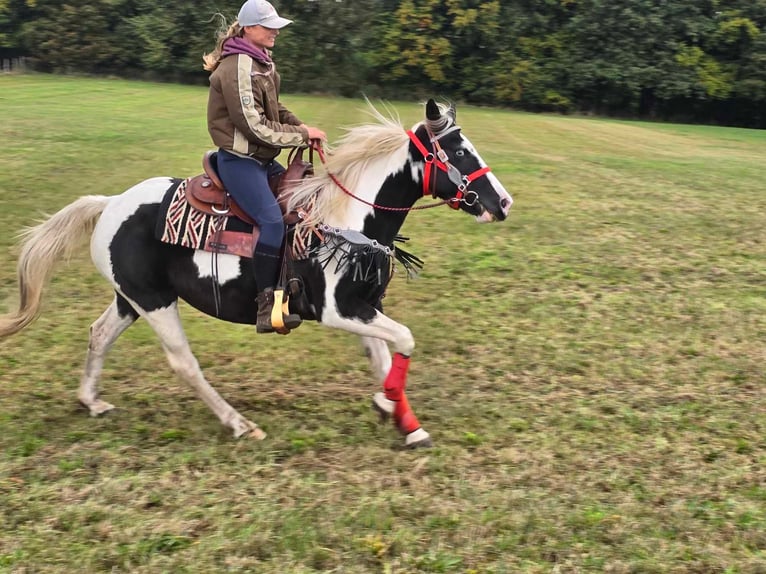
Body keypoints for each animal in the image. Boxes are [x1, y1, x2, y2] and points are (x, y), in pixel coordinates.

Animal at [1, 100, 516, 450]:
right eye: (459, 151)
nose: (503, 203)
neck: (344, 216)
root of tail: (110, 204)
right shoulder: (339, 309)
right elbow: (404, 341)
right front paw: (399, 415)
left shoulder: (364, 306)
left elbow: (383, 357)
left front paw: (397, 414)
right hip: (154, 302)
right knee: (184, 363)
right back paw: (239, 424)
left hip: (131, 298)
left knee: (99, 334)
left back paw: (91, 400)